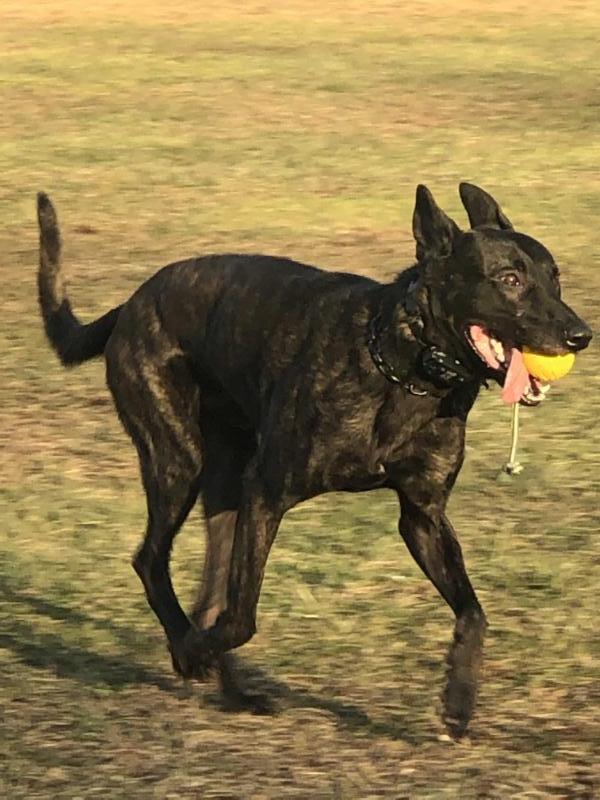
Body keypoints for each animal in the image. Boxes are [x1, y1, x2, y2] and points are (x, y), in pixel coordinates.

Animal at [36, 183, 592, 736]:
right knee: (153, 561)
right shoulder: (266, 492)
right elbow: (243, 618)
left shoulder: (422, 517)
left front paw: (457, 702)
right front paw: (190, 652)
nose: (581, 335)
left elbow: (474, 614)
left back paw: (234, 693)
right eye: (510, 279)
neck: (404, 370)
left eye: (555, 277)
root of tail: (129, 304)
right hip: (177, 461)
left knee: (210, 595)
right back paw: (191, 650)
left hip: (225, 492)